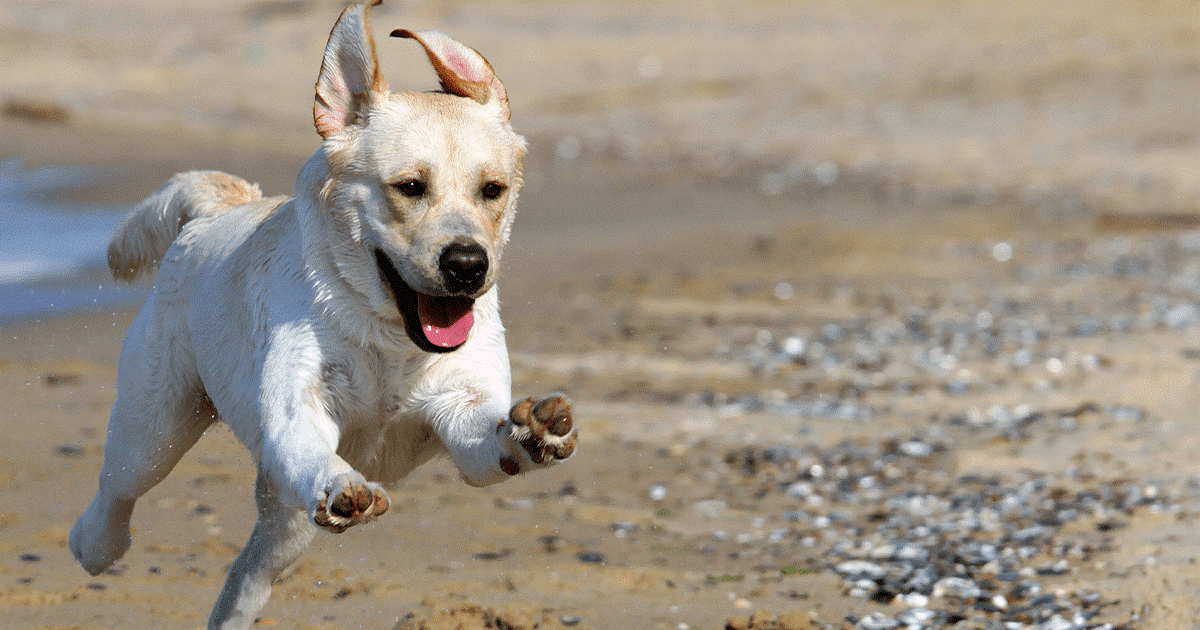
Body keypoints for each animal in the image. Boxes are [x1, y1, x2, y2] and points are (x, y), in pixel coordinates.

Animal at [68, 2, 578, 624]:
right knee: (116, 492)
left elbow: (493, 438)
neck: (389, 337)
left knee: (246, 575)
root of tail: (217, 210)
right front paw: (343, 488)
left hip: (284, 522)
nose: (467, 264)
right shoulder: (296, 415)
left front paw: (534, 434)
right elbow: (316, 454)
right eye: (410, 186)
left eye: (493, 190)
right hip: (155, 427)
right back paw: (94, 546)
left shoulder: (462, 411)